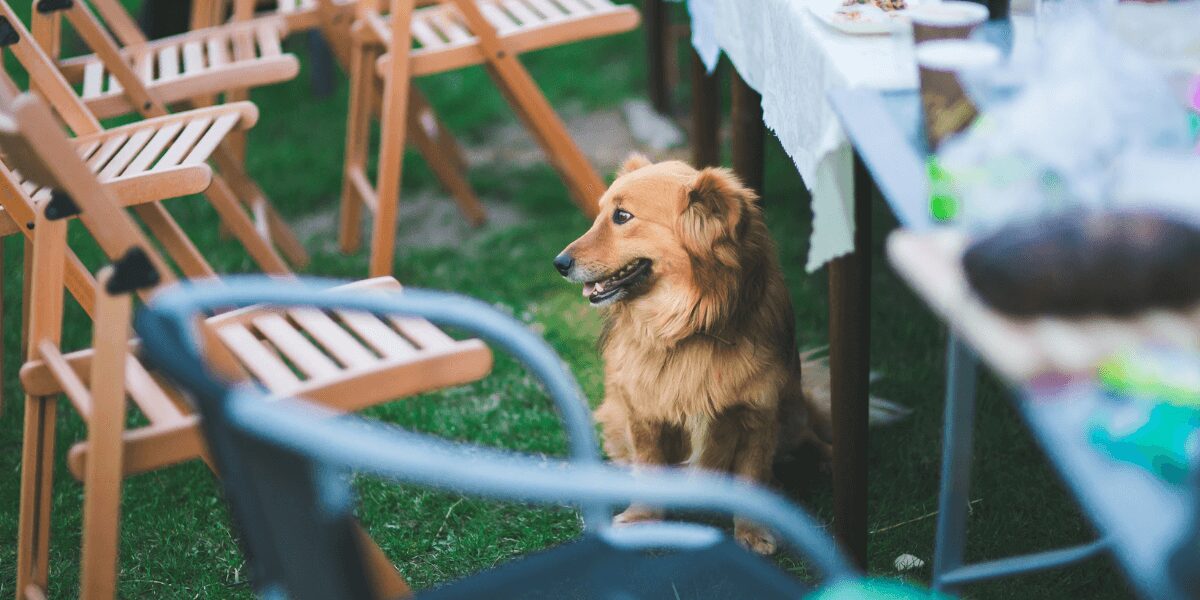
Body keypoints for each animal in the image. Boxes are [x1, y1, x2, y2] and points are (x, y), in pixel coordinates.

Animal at [556, 153, 830, 552]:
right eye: (601, 213)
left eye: (622, 216)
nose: (559, 263)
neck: (685, 325)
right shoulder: (644, 413)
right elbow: (649, 467)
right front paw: (643, 517)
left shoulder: (758, 414)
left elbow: (752, 475)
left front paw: (753, 530)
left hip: (791, 412)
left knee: (807, 435)